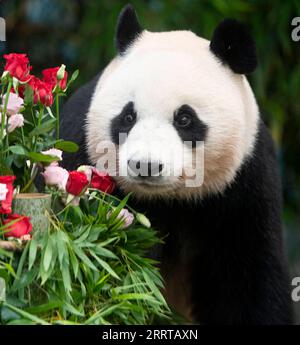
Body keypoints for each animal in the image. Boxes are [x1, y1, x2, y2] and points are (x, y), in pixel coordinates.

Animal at [60, 4, 292, 322]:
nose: (145, 165)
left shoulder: (246, 184)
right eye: (128, 116)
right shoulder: (78, 150)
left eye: (184, 119)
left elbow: (250, 280)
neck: (170, 200)